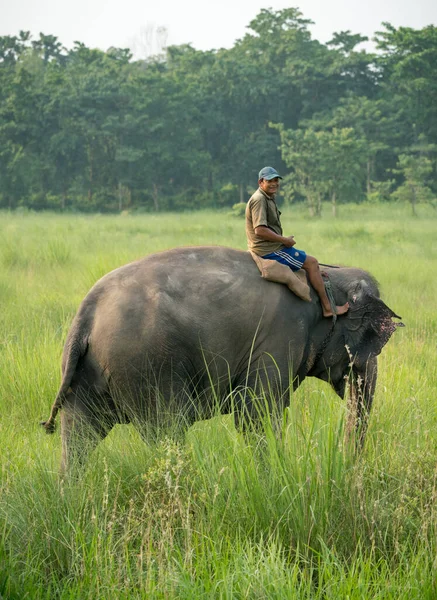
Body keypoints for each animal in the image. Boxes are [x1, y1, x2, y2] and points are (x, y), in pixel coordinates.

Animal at [41, 245, 402, 474]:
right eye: (374, 338)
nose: (348, 468)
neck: (327, 278)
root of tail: (86, 313)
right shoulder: (280, 338)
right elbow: (256, 413)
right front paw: (276, 477)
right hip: (146, 365)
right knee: (167, 430)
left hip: (87, 372)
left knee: (79, 438)